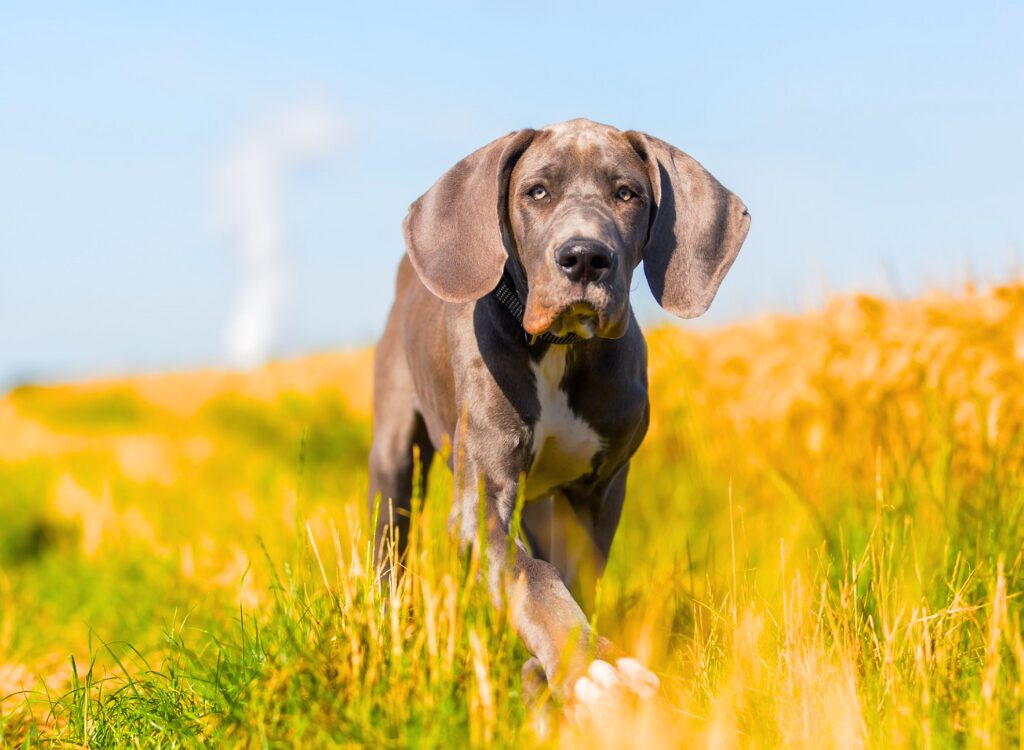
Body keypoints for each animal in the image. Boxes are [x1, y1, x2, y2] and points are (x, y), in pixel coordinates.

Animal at [370, 115, 753, 704]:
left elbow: (575, 578)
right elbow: (533, 578)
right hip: (393, 457)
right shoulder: (482, 502)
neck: (560, 348)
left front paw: (551, 672)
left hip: (545, 505)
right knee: (390, 544)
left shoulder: (599, 494)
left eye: (627, 193)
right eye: (537, 192)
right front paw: (593, 665)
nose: (585, 257)